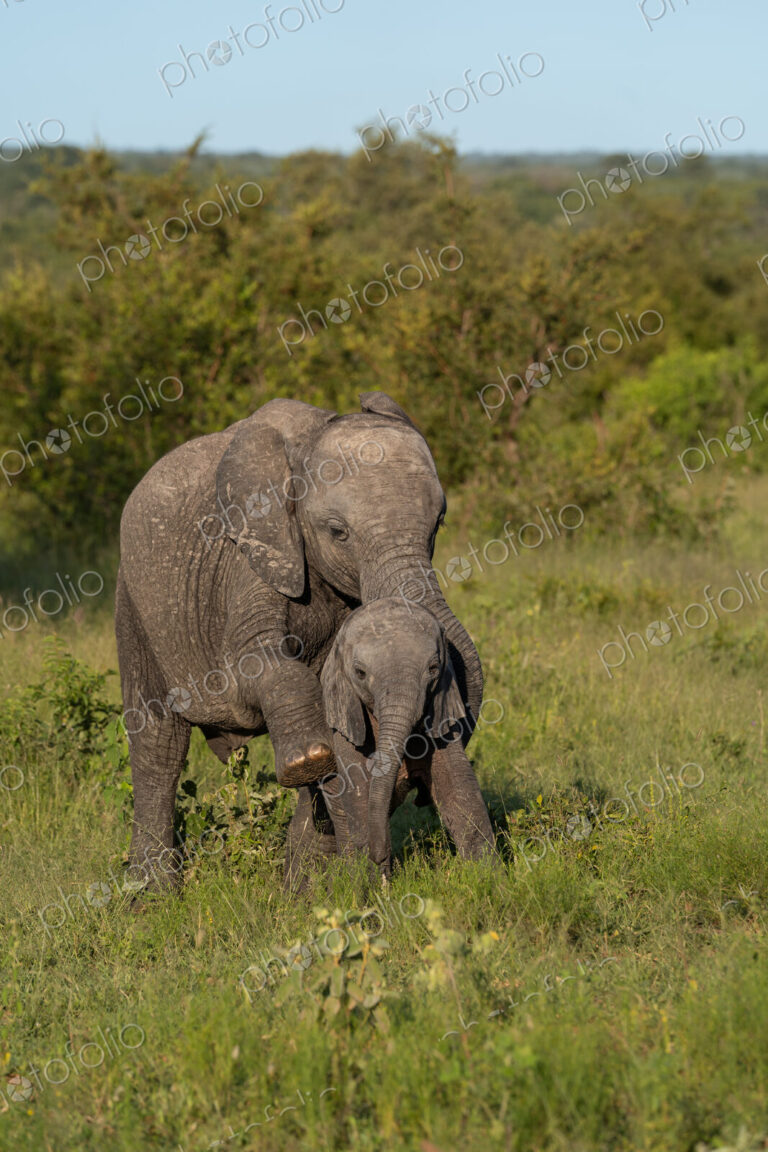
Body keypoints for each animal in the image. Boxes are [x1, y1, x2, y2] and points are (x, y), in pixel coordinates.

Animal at [314, 598, 497, 878]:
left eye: (433, 668)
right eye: (359, 673)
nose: (379, 855)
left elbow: (460, 793)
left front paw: (490, 879)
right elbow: (360, 797)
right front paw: (372, 883)